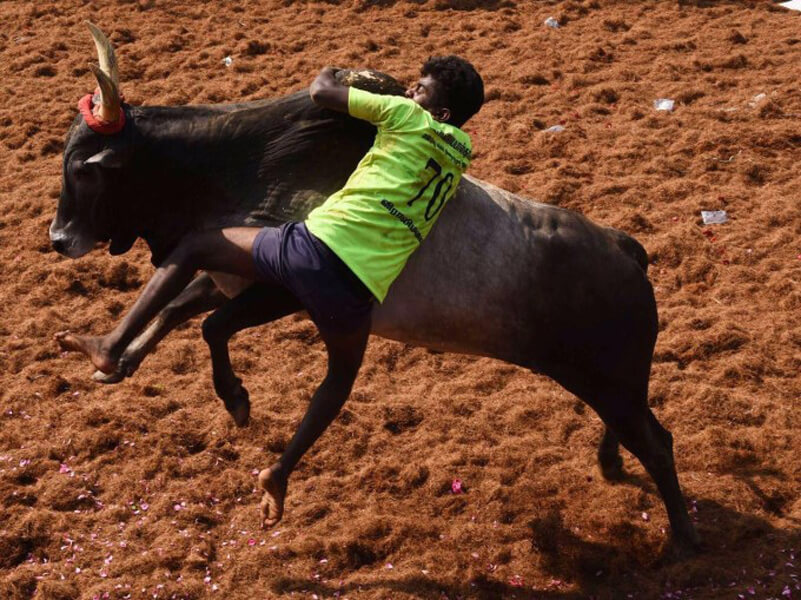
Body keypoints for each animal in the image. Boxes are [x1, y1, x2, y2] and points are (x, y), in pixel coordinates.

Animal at [50, 69, 700, 552]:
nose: (58, 238)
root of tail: (624, 247)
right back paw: (612, 467)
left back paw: (683, 540)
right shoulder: (232, 275)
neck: (244, 160)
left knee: (659, 442)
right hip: (606, 380)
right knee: (635, 428)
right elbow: (180, 309)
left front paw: (231, 398)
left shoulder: (282, 286)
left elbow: (209, 325)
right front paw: (114, 358)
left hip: (609, 378)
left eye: (83, 168)